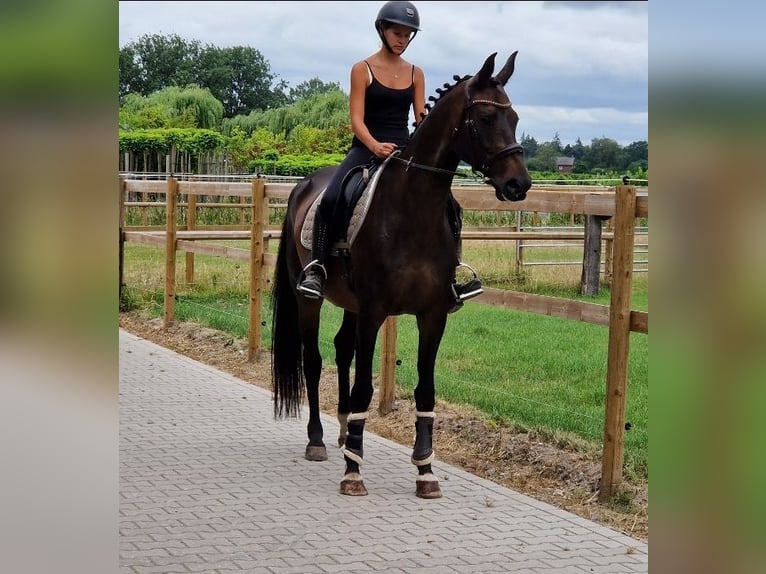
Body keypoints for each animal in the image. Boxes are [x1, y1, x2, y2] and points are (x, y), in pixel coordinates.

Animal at [270, 51, 532, 498]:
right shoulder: (376, 309)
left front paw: (424, 470)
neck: (413, 210)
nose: (519, 184)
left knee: (342, 349)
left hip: (351, 304)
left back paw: (344, 432)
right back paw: (318, 440)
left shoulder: (433, 314)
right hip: (311, 298)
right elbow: (365, 386)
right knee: (314, 360)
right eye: (484, 118)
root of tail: (304, 186)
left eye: (513, 117)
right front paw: (353, 472)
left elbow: (425, 390)